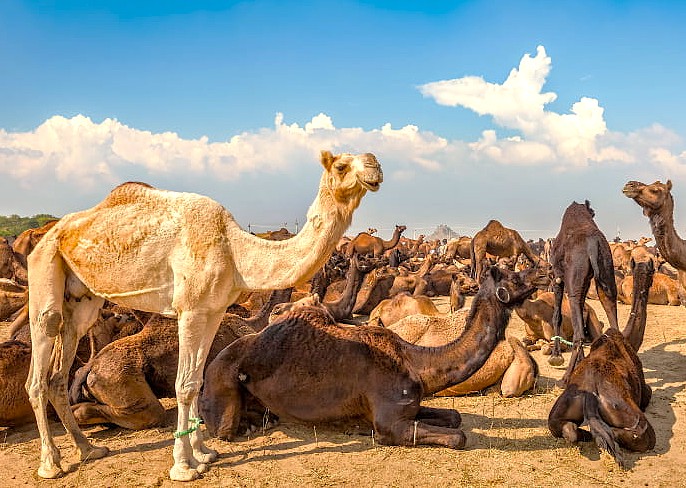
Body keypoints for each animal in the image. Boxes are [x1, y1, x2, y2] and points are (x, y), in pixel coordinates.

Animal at [25, 150, 382, 481]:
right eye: (341, 165)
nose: (375, 165)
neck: (234, 251)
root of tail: (48, 233)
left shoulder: (213, 310)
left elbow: (197, 381)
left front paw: (204, 453)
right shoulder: (190, 310)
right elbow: (183, 385)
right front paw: (183, 467)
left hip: (81, 301)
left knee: (60, 369)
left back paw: (88, 449)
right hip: (44, 267)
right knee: (40, 362)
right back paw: (50, 463)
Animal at [199, 266, 549, 445]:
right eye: (515, 276)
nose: (544, 274)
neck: (417, 363)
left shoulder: (411, 406)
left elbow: (454, 416)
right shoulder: (390, 424)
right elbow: (459, 437)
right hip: (222, 386)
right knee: (223, 429)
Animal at [548, 259, 656, 465]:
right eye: (652, 273)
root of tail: (590, 397)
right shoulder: (644, 391)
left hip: (558, 413)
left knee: (567, 429)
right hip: (631, 416)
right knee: (639, 433)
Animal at [549, 201, 619, 387]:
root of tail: (593, 244)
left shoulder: (558, 278)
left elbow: (557, 316)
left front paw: (556, 356)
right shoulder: (585, 283)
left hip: (574, 281)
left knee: (579, 334)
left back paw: (565, 378)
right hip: (607, 273)